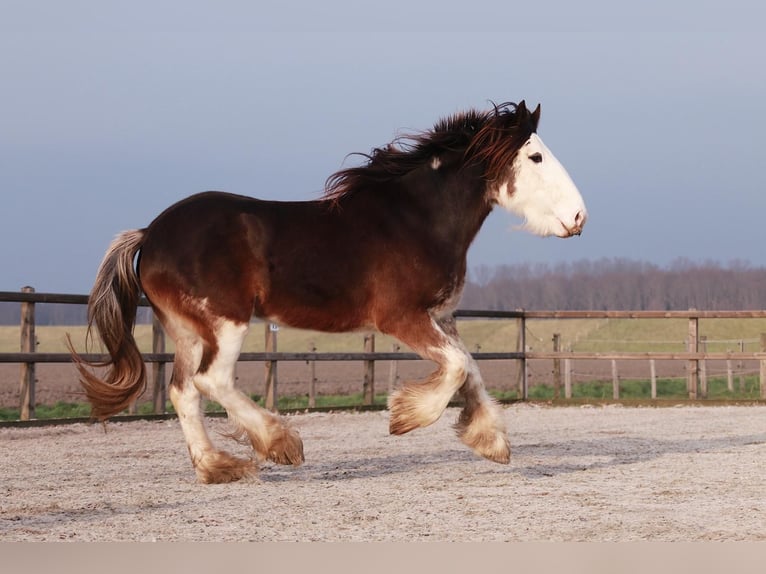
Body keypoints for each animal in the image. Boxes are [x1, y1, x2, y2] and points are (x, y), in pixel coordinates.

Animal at [70, 101, 588, 484]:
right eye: (536, 157)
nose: (579, 217)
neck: (416, 220)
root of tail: (149, 234)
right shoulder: (401, 317)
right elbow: (459, 367)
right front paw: (405, 417)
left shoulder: (442, 316)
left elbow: (471, 369)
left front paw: (490, 441)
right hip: (225, 321)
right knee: (211, 381)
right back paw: (280, 444)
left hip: (186, 330)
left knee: (183, 392)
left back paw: (219, 467)